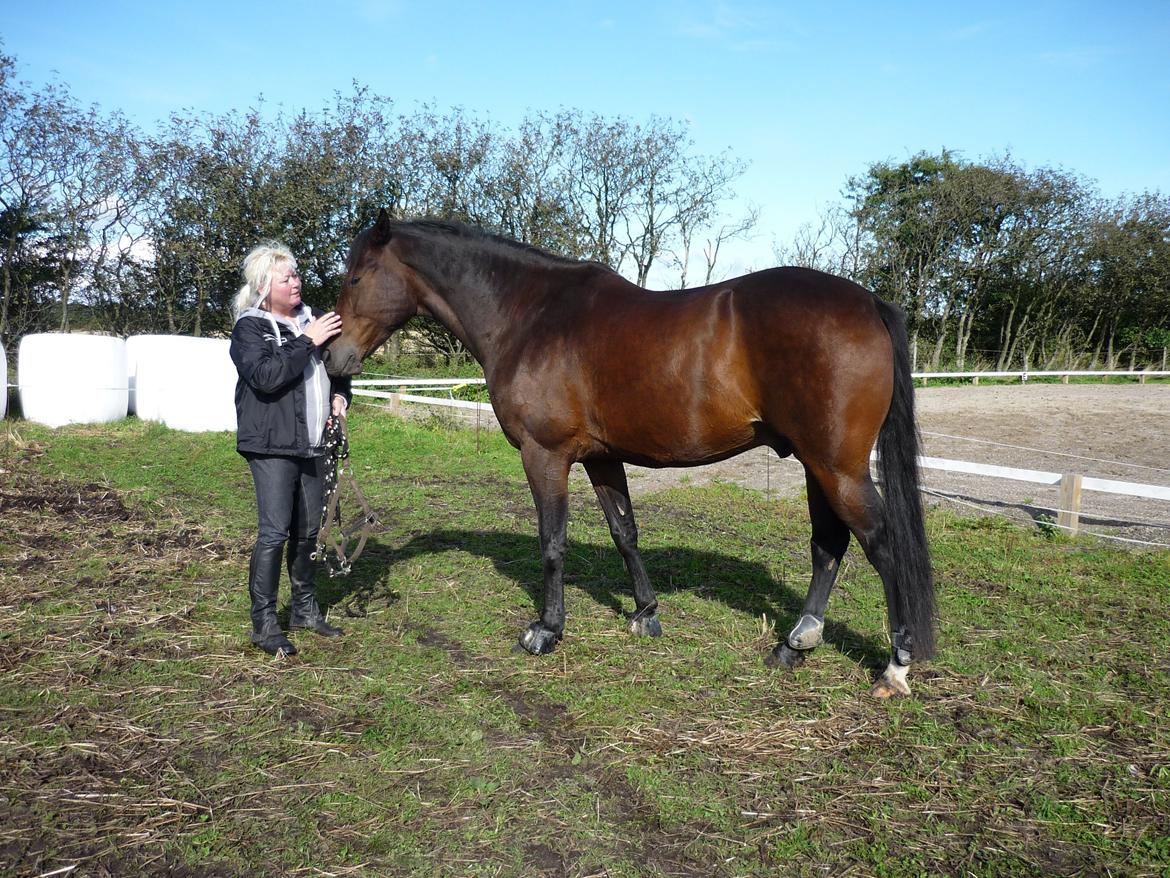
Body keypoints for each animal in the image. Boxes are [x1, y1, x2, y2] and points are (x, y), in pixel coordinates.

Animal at [325, 209, 935, 697]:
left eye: (356, 276)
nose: (334, 359)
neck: (530, 314)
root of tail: (867, 302)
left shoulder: (545, 456)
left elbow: (553, 541)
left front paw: (546, 630)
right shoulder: (600, 457)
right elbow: (624, 531)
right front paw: (645, 613)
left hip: (837, 469)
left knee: (880, 545)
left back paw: (894, 666)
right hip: (816, 465)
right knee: (828, 546)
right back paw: (794, 643)